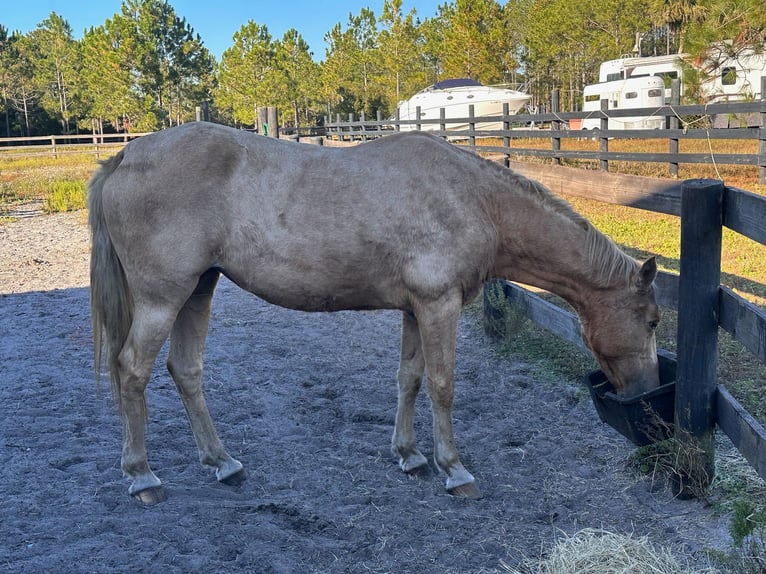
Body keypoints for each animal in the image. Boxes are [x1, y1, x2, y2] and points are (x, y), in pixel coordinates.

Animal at [89, 122, 660, 504]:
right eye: (653, 322)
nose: (648, 392)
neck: (475, 200)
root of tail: (127, 155)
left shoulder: (416, 309)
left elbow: (410, 378)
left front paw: (409, 455)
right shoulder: (439, 305)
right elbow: (442, 385)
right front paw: (454, 469)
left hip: (198, 291)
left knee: (185, 371)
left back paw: (223, 463)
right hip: (163, 298)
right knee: (132, 371)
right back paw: (142, 476)